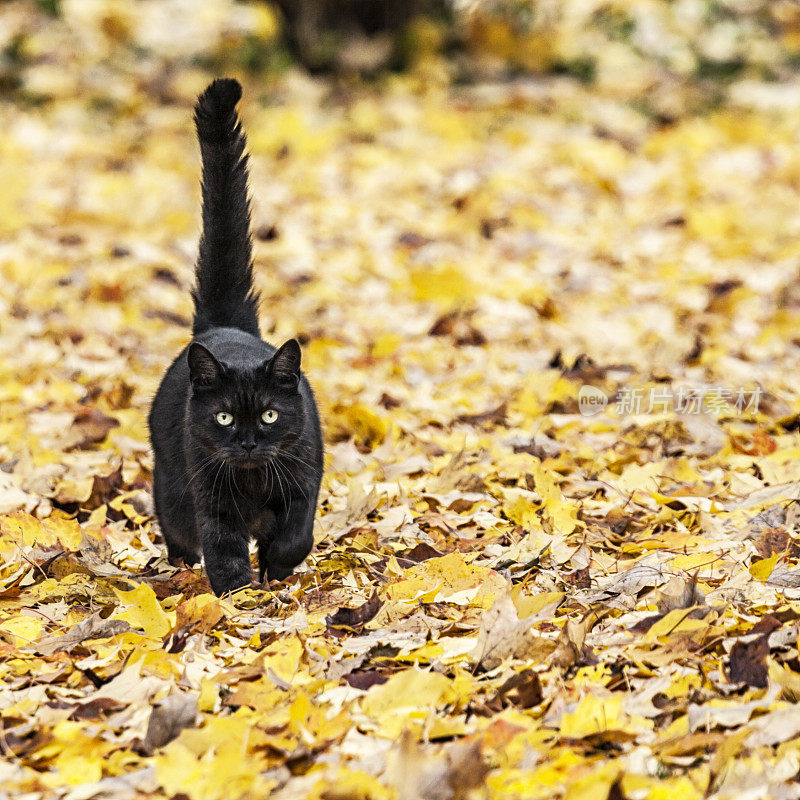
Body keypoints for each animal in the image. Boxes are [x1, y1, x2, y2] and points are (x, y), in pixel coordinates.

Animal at [148, 78, 324, 596]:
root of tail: (224, 325)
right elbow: (223, 548)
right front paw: (236, 598)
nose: (246, 443)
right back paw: (180, 565)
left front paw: (275, 571)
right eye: (224, 417)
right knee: (178, 529)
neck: (252, 481)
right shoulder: (212, 498)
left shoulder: (303, 482)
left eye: (269, 414)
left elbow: (296, 536)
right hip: (172, 486)